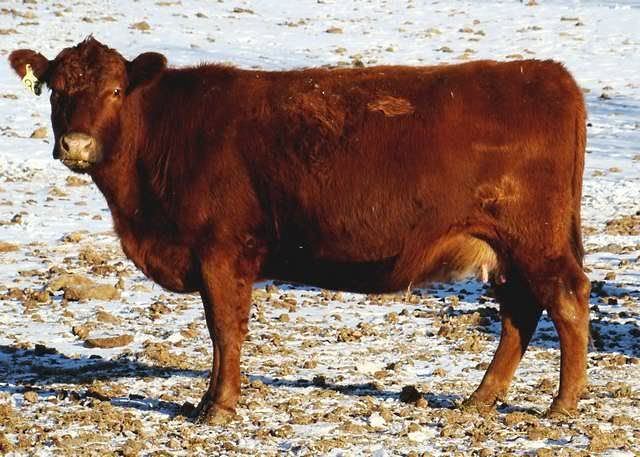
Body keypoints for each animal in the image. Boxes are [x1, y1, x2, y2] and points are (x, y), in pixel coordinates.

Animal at [9, 37, 590, 424]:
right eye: (56, 91)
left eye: (114, 90)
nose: (77, 145)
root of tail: (546, 73)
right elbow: (220, 332)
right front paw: (209, 400)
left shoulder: (222, 251)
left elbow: (225, 329)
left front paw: (218, 407)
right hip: (511, 249)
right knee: (520, 313)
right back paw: (480, 399)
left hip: (535, 241)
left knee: (566, 300)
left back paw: (563, 403)